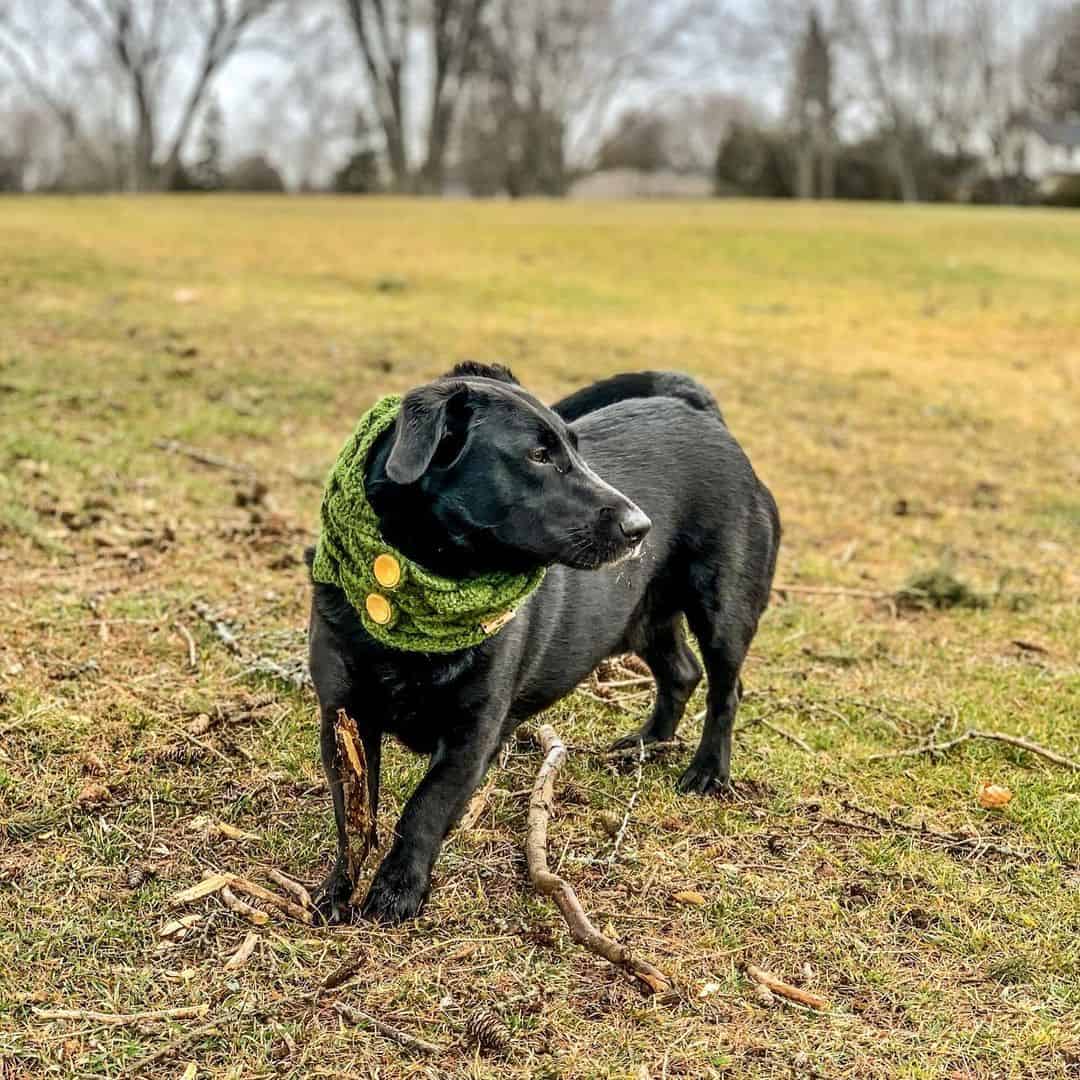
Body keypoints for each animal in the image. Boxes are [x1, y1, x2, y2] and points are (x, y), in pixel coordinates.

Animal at [308, 362, 781, 920]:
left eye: (576, 447)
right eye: (538, 455)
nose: (641, 526)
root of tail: (704, 416)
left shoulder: (473, 735)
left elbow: (425, 808)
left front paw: (398, 890)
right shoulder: (344, 717)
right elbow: (353, 813)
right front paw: (339, 889)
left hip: (723, 606)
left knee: (726, 688)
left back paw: (708, 771)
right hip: (639, 616)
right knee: (682, 672)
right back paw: (645, 743)